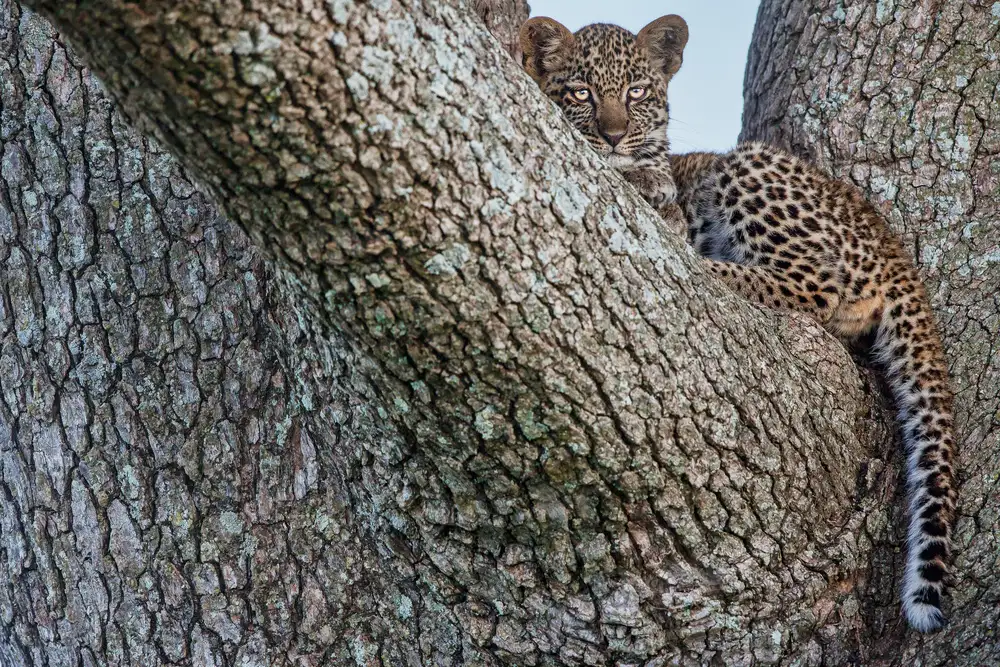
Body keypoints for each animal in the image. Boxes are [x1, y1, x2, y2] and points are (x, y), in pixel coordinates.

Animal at [521, 16, 958, 633]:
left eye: (636, 92)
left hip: (746, 169)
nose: (612, 137)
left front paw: (647, 181)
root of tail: (892, 245)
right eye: (580, 93)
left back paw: (703, 265)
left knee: (814, 286)